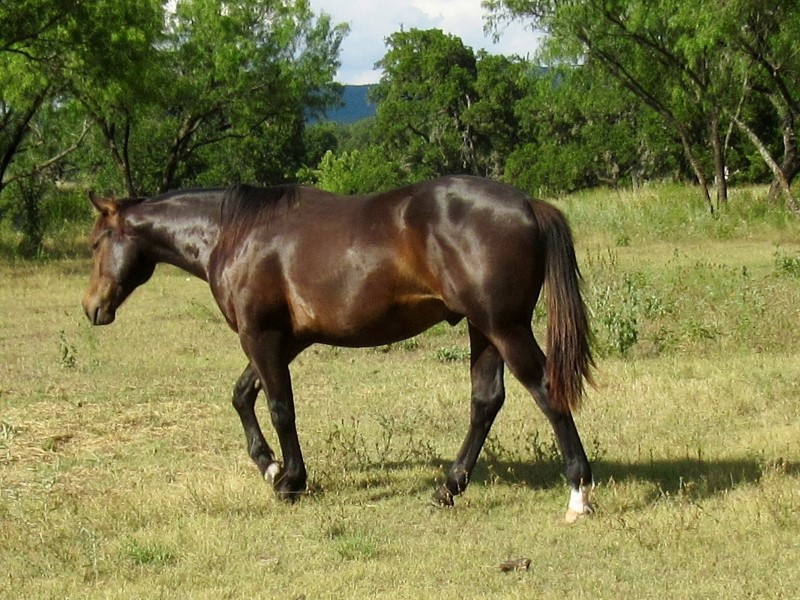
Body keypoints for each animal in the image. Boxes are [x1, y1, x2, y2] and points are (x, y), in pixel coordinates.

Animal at [83, 173, 592, 520]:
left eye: (95, 243)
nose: (91, 307)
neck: (236, 233)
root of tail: (527, 203)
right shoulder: (284, 340)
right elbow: (242, 396)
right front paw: (269, 467)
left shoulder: (260, 336)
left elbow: (280, 408)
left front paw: (290, 480)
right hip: (483, 330)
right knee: (486, 401)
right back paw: (448, 487)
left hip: (503, 327)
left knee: (547, 391)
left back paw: (578, 493)